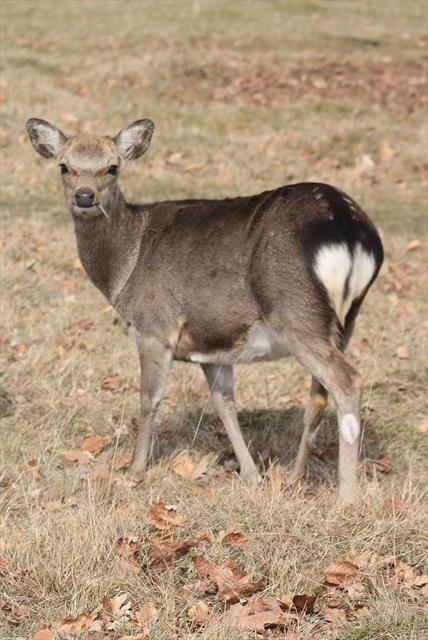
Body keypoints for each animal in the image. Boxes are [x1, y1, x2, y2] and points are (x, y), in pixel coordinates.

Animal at [26, 117, 383, 502]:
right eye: (64, 166)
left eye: (112, 167)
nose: (85, 196)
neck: (124, 267)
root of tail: (351, 233)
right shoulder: (212, 344)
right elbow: (224, 404)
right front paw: (253, 477)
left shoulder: (155, 326)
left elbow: (149, 399)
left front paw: (134, 470)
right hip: (342, 323)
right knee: (318, 396)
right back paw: (295, 477)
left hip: (293, 310)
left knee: (347, 382)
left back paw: (346, 497)